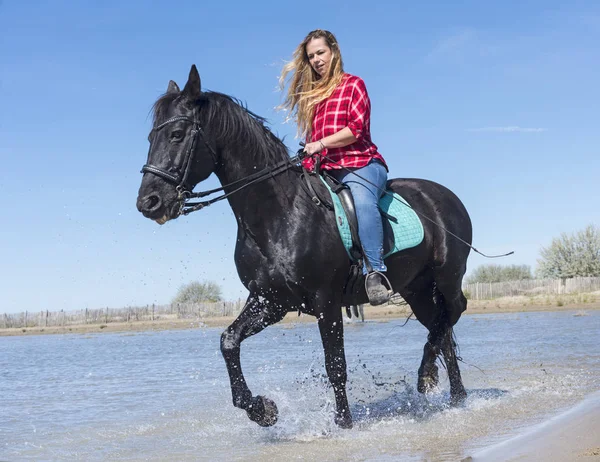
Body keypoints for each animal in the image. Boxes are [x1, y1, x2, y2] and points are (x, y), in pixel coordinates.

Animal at [137, 65, 474, 430]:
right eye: (150, 138)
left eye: (177, 134)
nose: (149, 203)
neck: (279, 215)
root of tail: (445, 196)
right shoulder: (270, 301)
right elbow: (229, 341)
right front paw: (262, 409)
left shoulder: (326, 300)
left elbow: (335, 366)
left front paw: (343, 424)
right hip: (416, 288)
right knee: (442, 330)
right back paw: (454, 395)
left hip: (447, 276)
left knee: (453, 311)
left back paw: (427, 376)